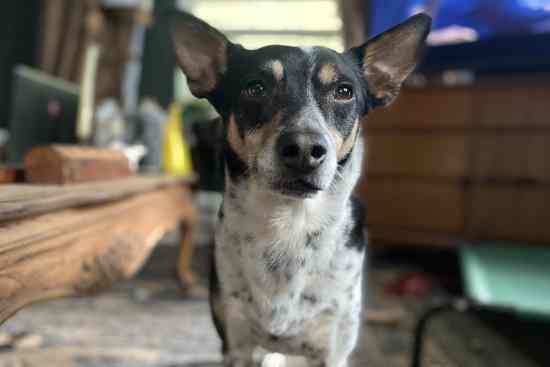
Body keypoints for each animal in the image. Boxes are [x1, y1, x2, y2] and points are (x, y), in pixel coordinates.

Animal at [170, 11, 434, 367]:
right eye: (255, 88)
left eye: (344, 91)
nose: (305, 149)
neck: (291, 224)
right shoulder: (236, 343)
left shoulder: (331, 350)